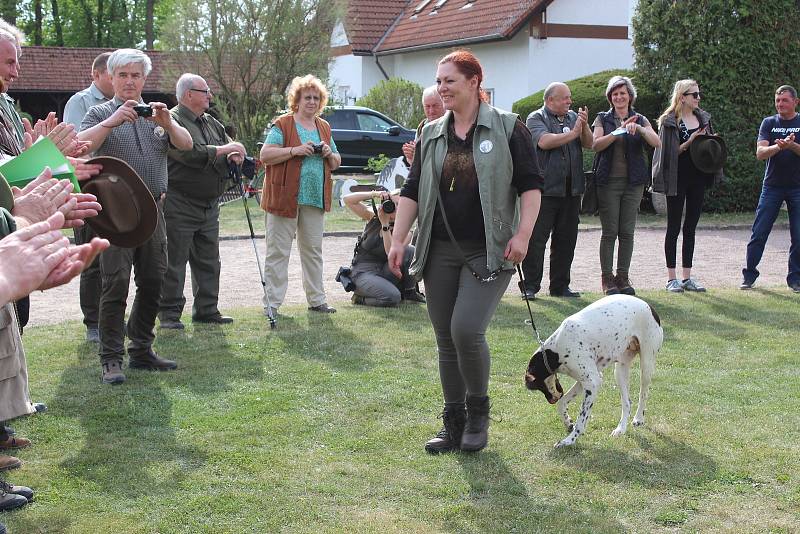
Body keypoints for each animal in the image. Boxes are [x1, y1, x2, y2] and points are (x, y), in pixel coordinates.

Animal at [524, 296, 664, 450]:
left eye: (538, 387)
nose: (551, 400)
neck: (555, 352)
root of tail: (650, 307)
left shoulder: (593, 383)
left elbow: (581, 420)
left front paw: (569, 440)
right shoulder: (583, 382)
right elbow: (562, 404)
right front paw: (568, 422)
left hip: (646, 366)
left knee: (643, 394)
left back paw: (638, 419)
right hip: (620, 371)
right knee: (627, 402)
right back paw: (620, 429)